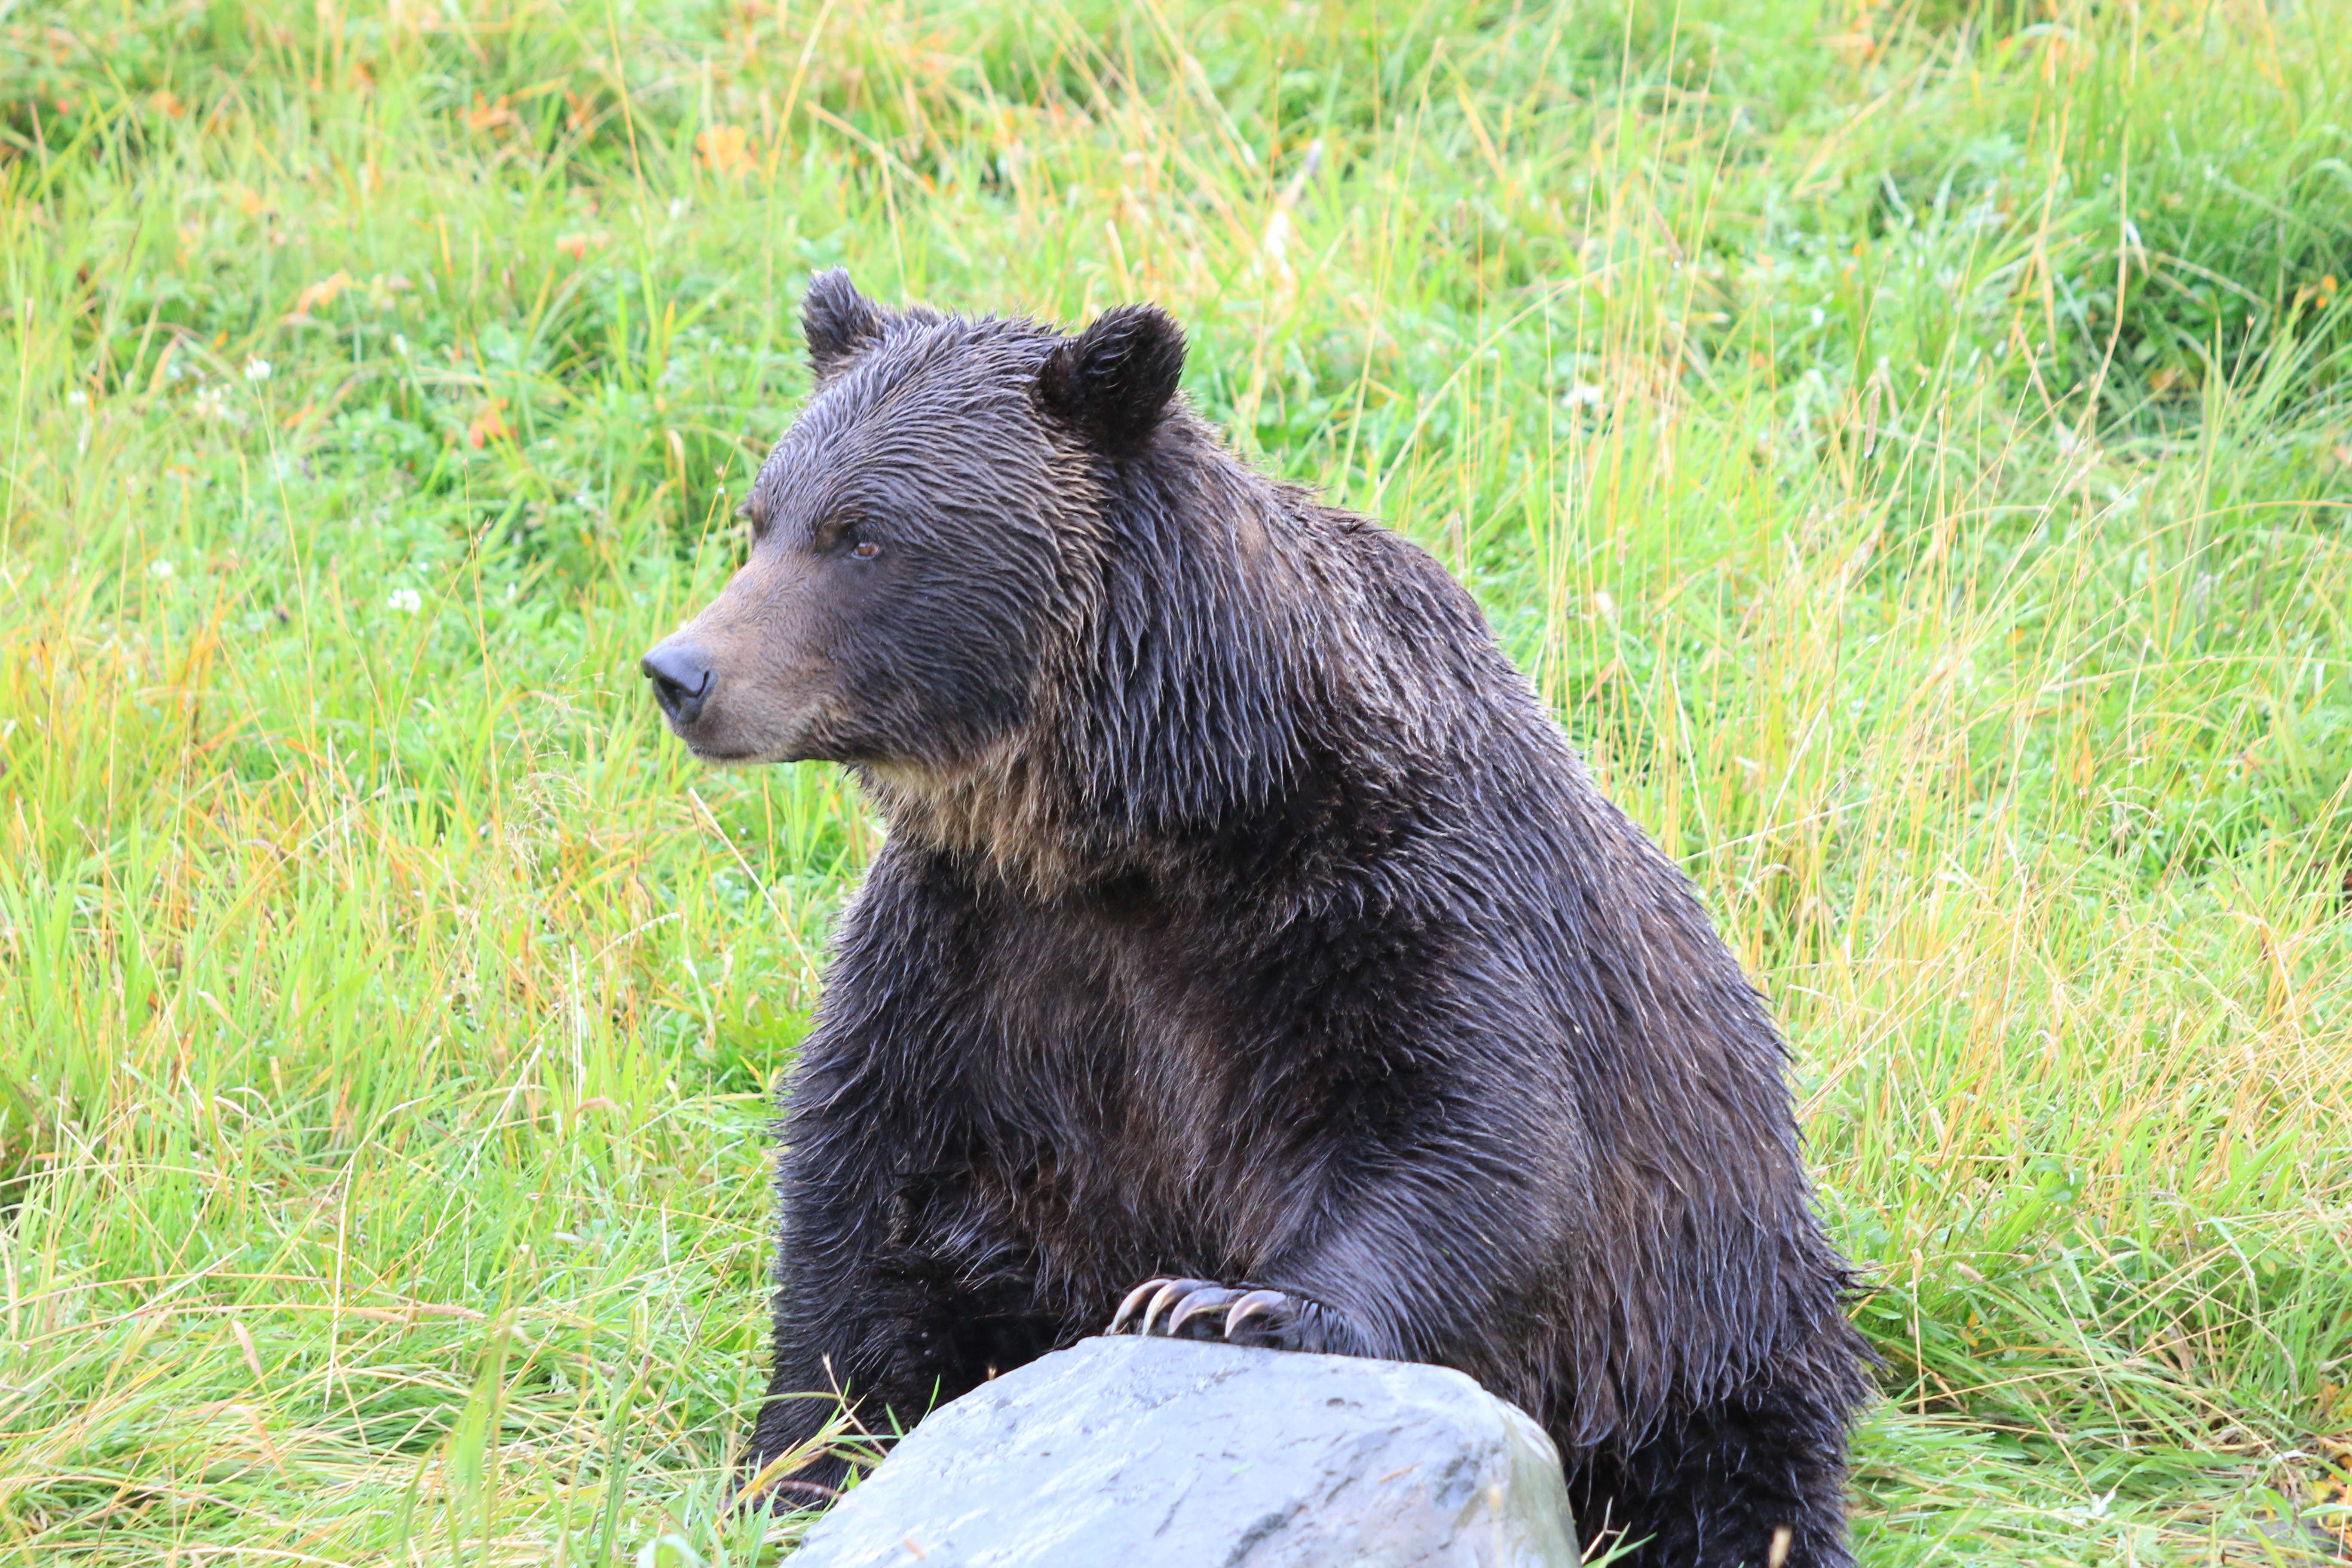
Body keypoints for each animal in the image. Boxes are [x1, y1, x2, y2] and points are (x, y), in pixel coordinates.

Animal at [640, 270, 1873, 1567]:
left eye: (865, 535)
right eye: (762, 516)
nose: (683, 671)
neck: (1147, 814)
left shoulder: (1380, 899)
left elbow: (1469, 1139)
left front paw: (1222, 1299)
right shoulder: (975, 943)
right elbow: (867, 1176)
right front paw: (805, 1459)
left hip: (1698, 1316)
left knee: (1734, 1478)